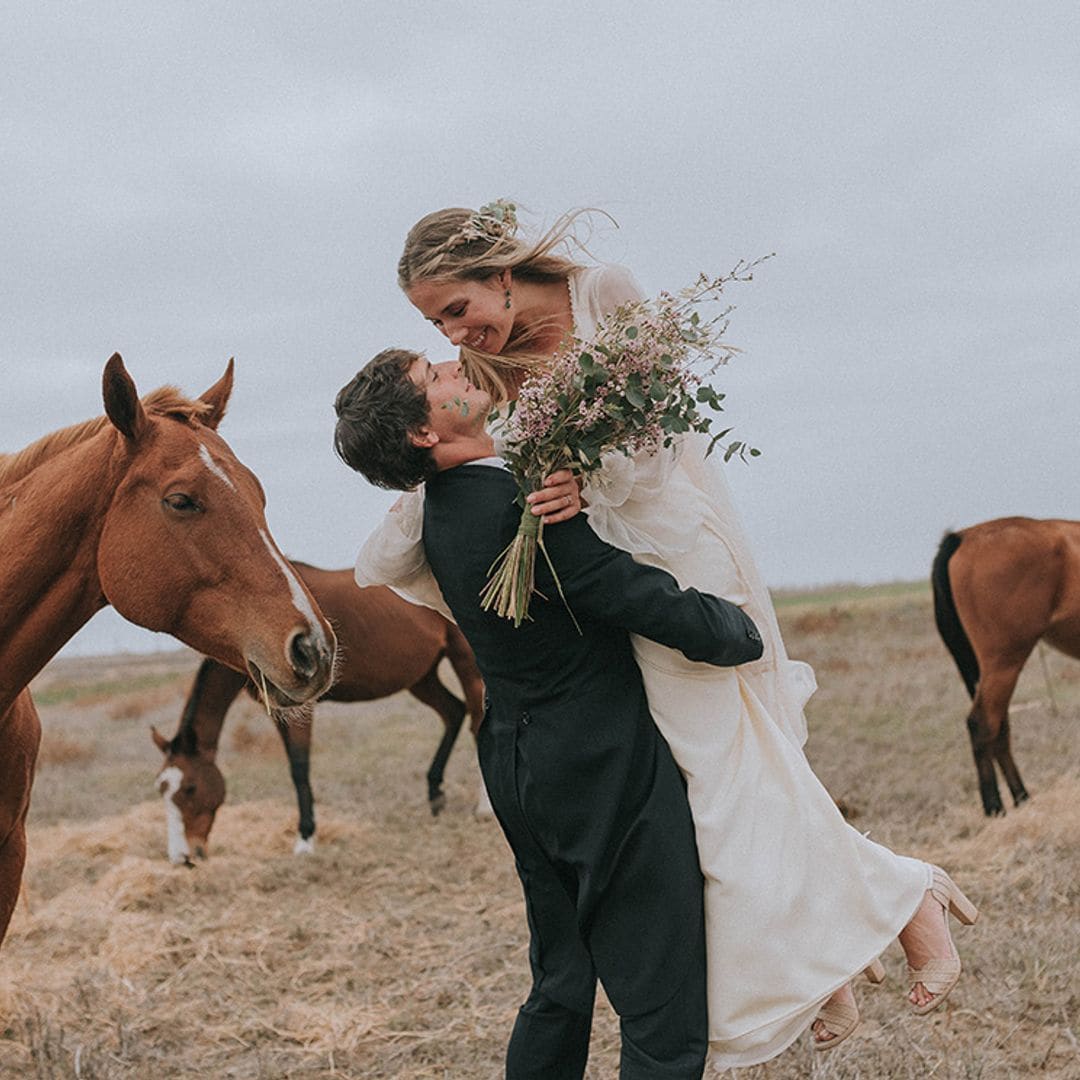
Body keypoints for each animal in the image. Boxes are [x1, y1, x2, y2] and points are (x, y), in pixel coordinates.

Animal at [152, 561, 486, 864]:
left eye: (190, 788)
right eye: (162, 790)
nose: (182, 857)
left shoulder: (303, 706)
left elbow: (300, 767)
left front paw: (305, 839)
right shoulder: (280, 711)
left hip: (466, 660)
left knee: (478, 721)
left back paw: (483, 807)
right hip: (422, 677)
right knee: (453, 713)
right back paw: (435, 795)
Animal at [928, 518, 1080, 812]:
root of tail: (962, 537)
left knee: (999, 727)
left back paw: (1021, 797)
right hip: (1004, 663)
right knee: (982, 723)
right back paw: (995, 807)